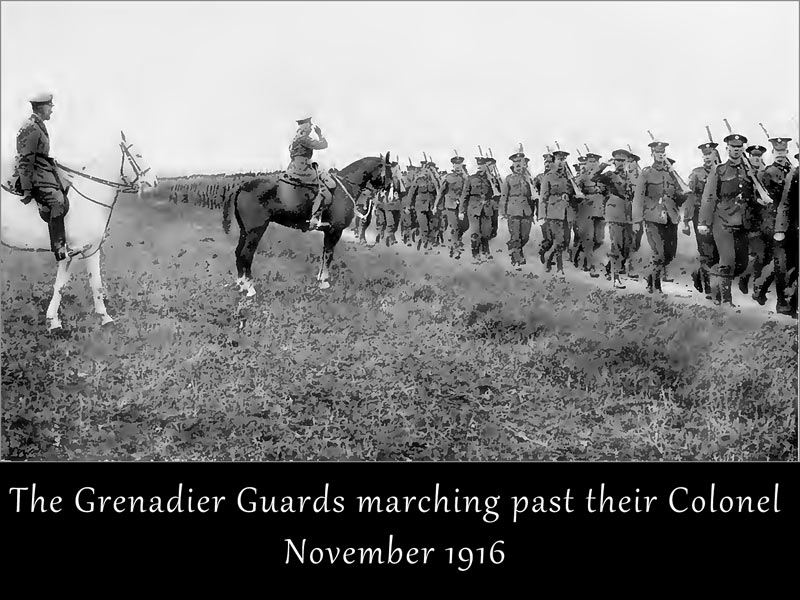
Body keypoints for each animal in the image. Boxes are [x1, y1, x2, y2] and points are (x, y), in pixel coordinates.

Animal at [0, 131, 156, 330]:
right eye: (138, 155)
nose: (154, 182)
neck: (88, 195)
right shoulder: (84, 250)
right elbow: (90, 283)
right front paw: (105, 319)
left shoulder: (80, 251)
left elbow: (67, 285)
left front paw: (54, 321)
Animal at [223, 152, 392, 296]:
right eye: (390, 171)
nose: (389, 193)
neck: (346, 186)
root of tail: (242, 187)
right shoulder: (335, 231)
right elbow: (328, 255)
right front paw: (324, 283)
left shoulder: (329, 232)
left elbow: (325, 254)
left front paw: (320, 279)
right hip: (255, 231)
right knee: (246, 255)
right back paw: (250, 289)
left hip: (245, 231)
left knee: (239, 253)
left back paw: (241, 285)